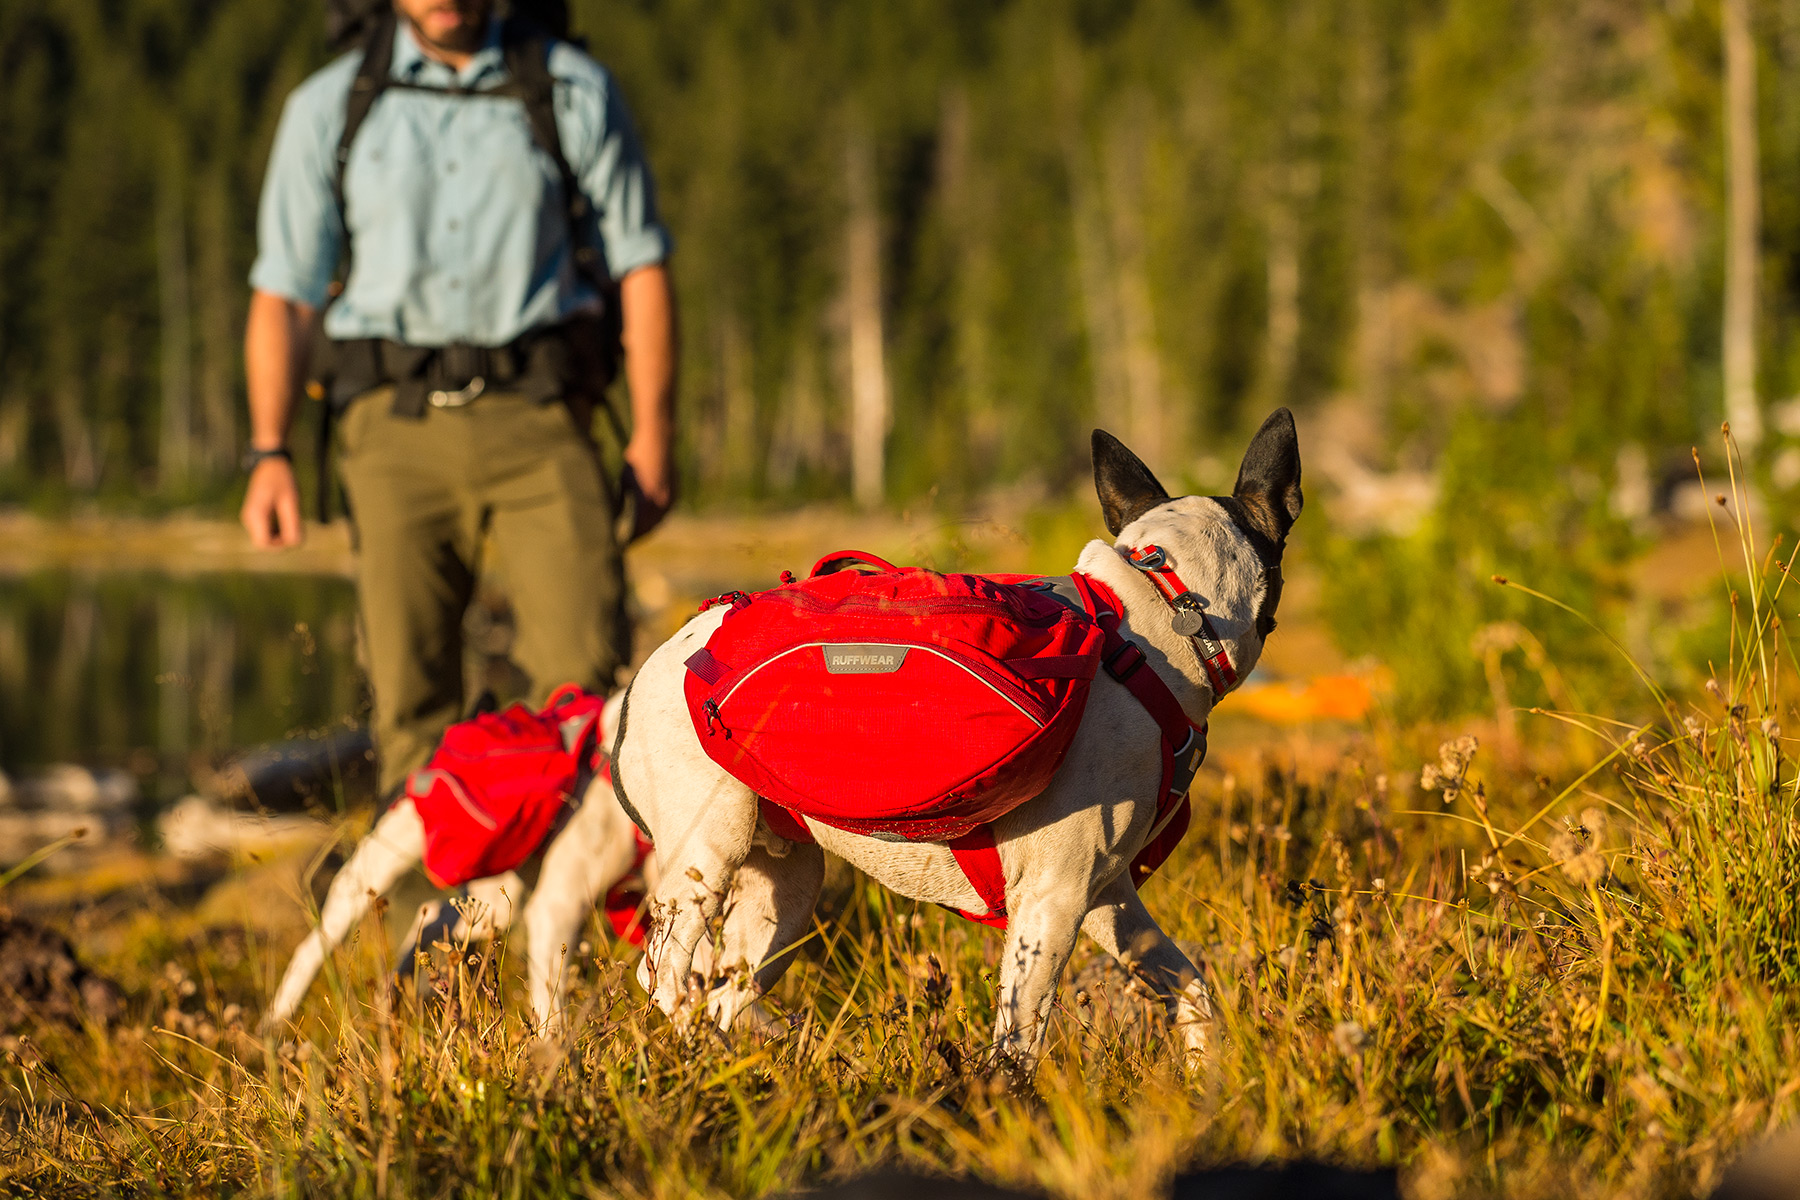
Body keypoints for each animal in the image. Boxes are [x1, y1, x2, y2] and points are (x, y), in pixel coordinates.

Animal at [612, 415, 1303, 1072]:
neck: (1164, 615)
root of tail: (659, 662)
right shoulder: (1052, 901)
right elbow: (1017, 1048)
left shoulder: (1108, 896)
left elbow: (1191, 990)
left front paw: (1205, 1073)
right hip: (709, 852)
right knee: (667, 976)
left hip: (783, 897)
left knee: (724, 990)